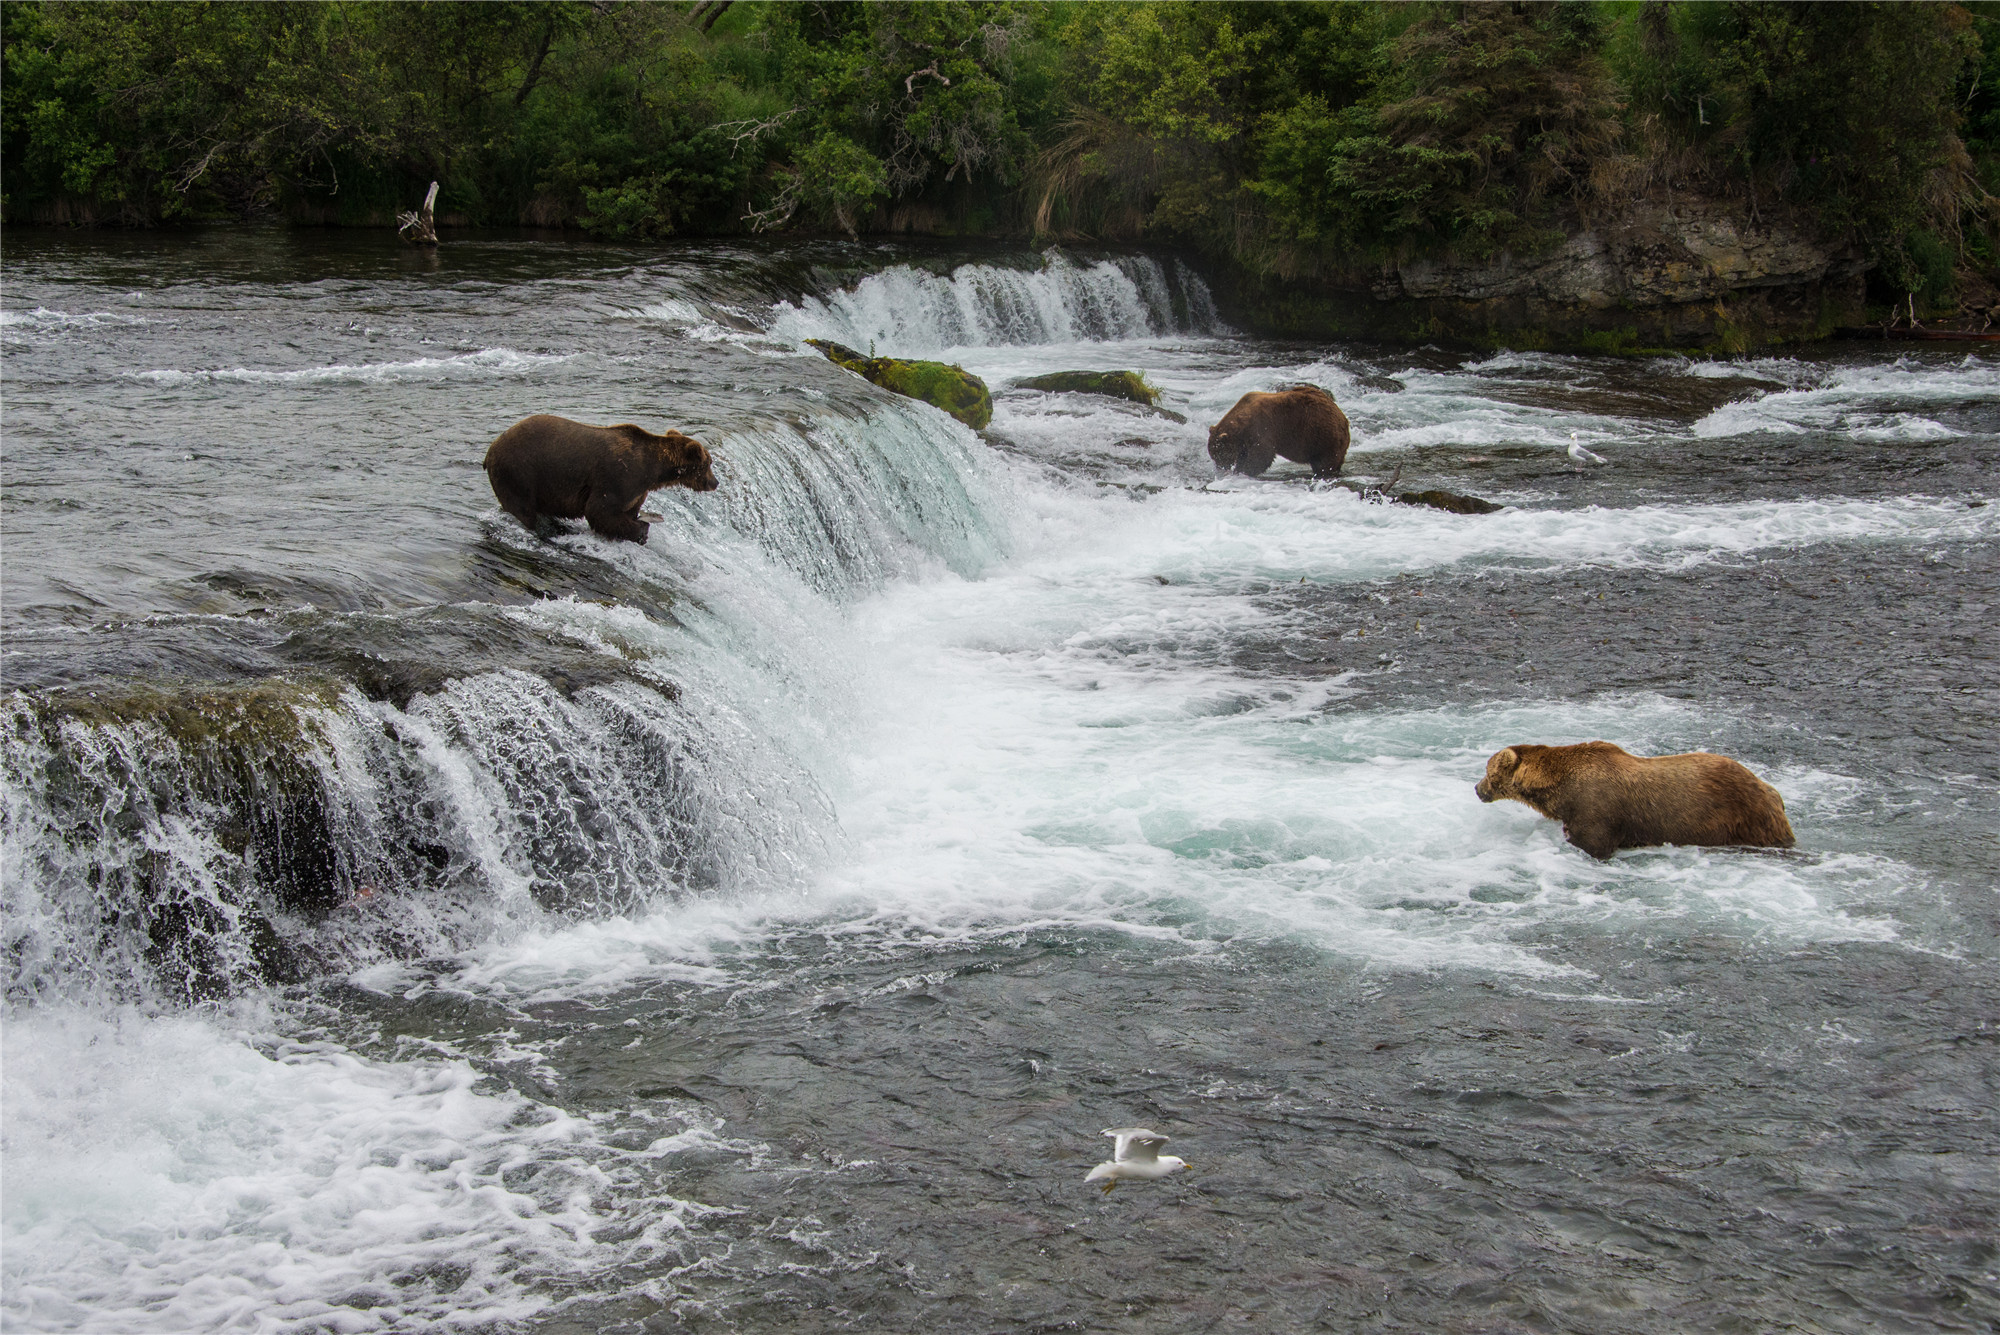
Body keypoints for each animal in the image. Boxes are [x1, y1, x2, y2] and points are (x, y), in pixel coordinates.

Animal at [484, 413, 720, 543]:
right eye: (708, 463)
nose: (715, 482)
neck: (652, 470)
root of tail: (491, 449)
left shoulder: (637, 491)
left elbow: (626, 510)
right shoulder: (620, 477)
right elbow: (600, 509)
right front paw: (641, 531)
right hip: (519, 471)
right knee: (522, 509)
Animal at [1200, 385, 1360, 479]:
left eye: (1219, 455)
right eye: (1213, 455)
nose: (1220, 469)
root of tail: (1343, 418)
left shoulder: (1261, 428)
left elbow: (1262, 456)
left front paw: (1242, 471)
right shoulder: (1245, 440)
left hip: (1323, 437)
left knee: (1325, 463)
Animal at [1472, 735, 1800, 859]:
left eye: (1487, 770)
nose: (1477, 788)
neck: (1563, 790)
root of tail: (1771, 790)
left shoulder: (1598, 808)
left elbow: (1593, 842)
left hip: (1745, 817)